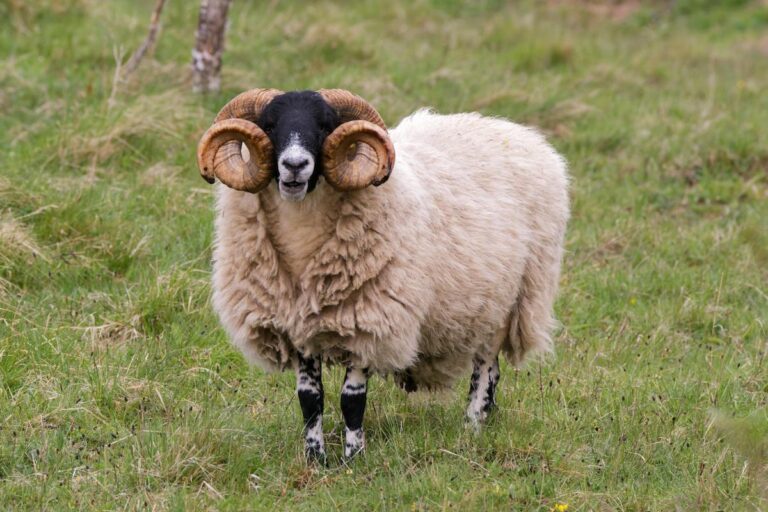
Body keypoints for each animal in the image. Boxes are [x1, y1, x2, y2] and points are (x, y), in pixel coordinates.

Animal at [198, 88, 568, 460]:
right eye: (270, 125)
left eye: (325, 125)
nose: (294, 166)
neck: (302, 235)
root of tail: (517, 132)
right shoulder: (297, 327)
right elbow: (309, 399)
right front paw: (315, 458)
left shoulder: (371, 323)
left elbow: (351, 400)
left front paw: (352, 458)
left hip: (510, 301)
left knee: (486, 368)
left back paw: (472, 426)